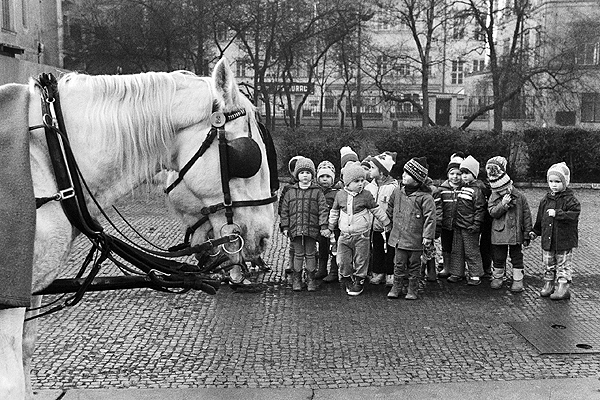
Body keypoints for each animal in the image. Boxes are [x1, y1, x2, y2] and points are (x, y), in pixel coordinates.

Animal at [0, 57, 276, 398]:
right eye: (250, 156)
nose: (265, 236)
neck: (51, 157)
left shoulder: (31, 289)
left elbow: (25, 360)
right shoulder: (8, 303)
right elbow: (11, 382)